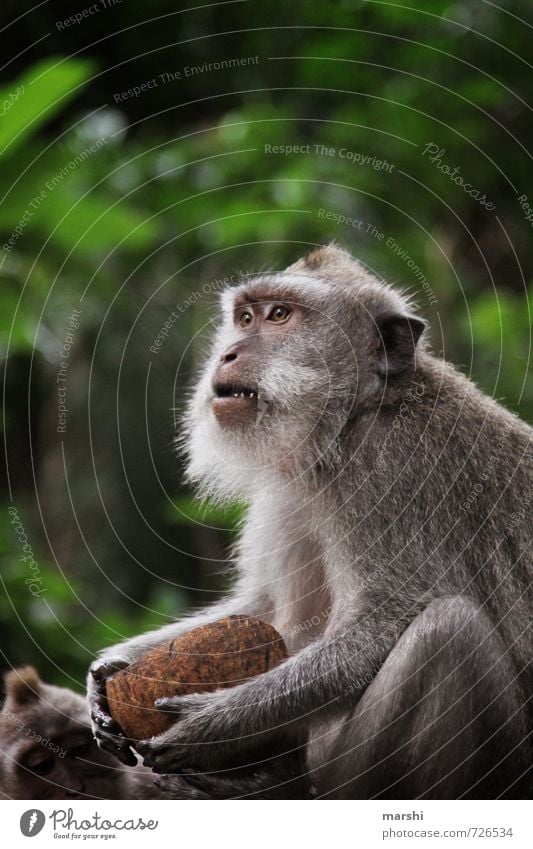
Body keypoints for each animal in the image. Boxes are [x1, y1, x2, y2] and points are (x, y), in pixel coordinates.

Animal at [86, 243, 528, 796]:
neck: (354, 419)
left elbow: (384, 621)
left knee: (449, 632)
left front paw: (210, 725)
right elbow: (266, 606)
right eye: (245, 318)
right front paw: (109, 670)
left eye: (280, 315)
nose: (228, 354)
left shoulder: (390, 470)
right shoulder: (290, 485)